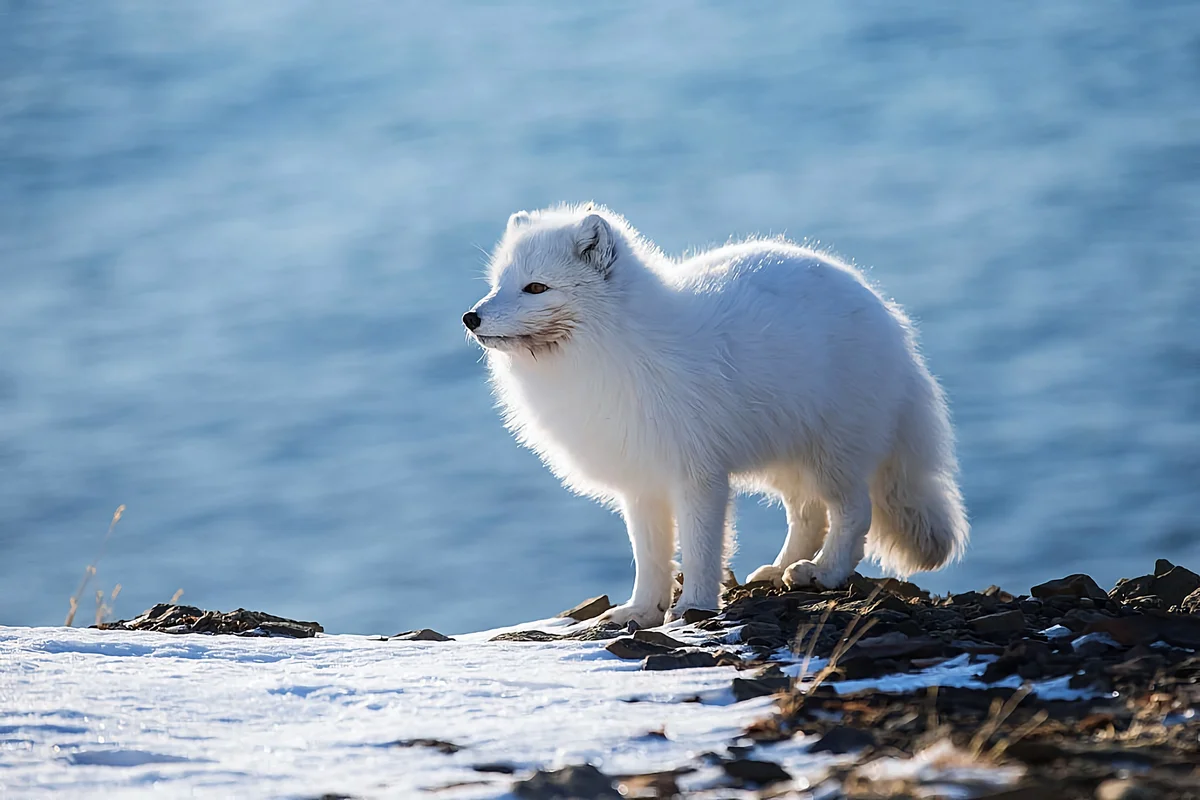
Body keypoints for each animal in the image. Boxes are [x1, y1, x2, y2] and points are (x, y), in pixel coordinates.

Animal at [463, 203, 969, 628]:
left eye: (536, 287)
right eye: (498, 283)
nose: (471, 318)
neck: (615, 351)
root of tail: (891, 320)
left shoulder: (699, 475)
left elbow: (700, 549)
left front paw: (693, 608)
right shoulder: (641, 482)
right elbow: (650, 556)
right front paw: (641, 611)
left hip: (833, 452)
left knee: (852, 512)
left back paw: (822, 573)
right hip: (787, 458)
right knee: (808, 514)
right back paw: (779, 569)